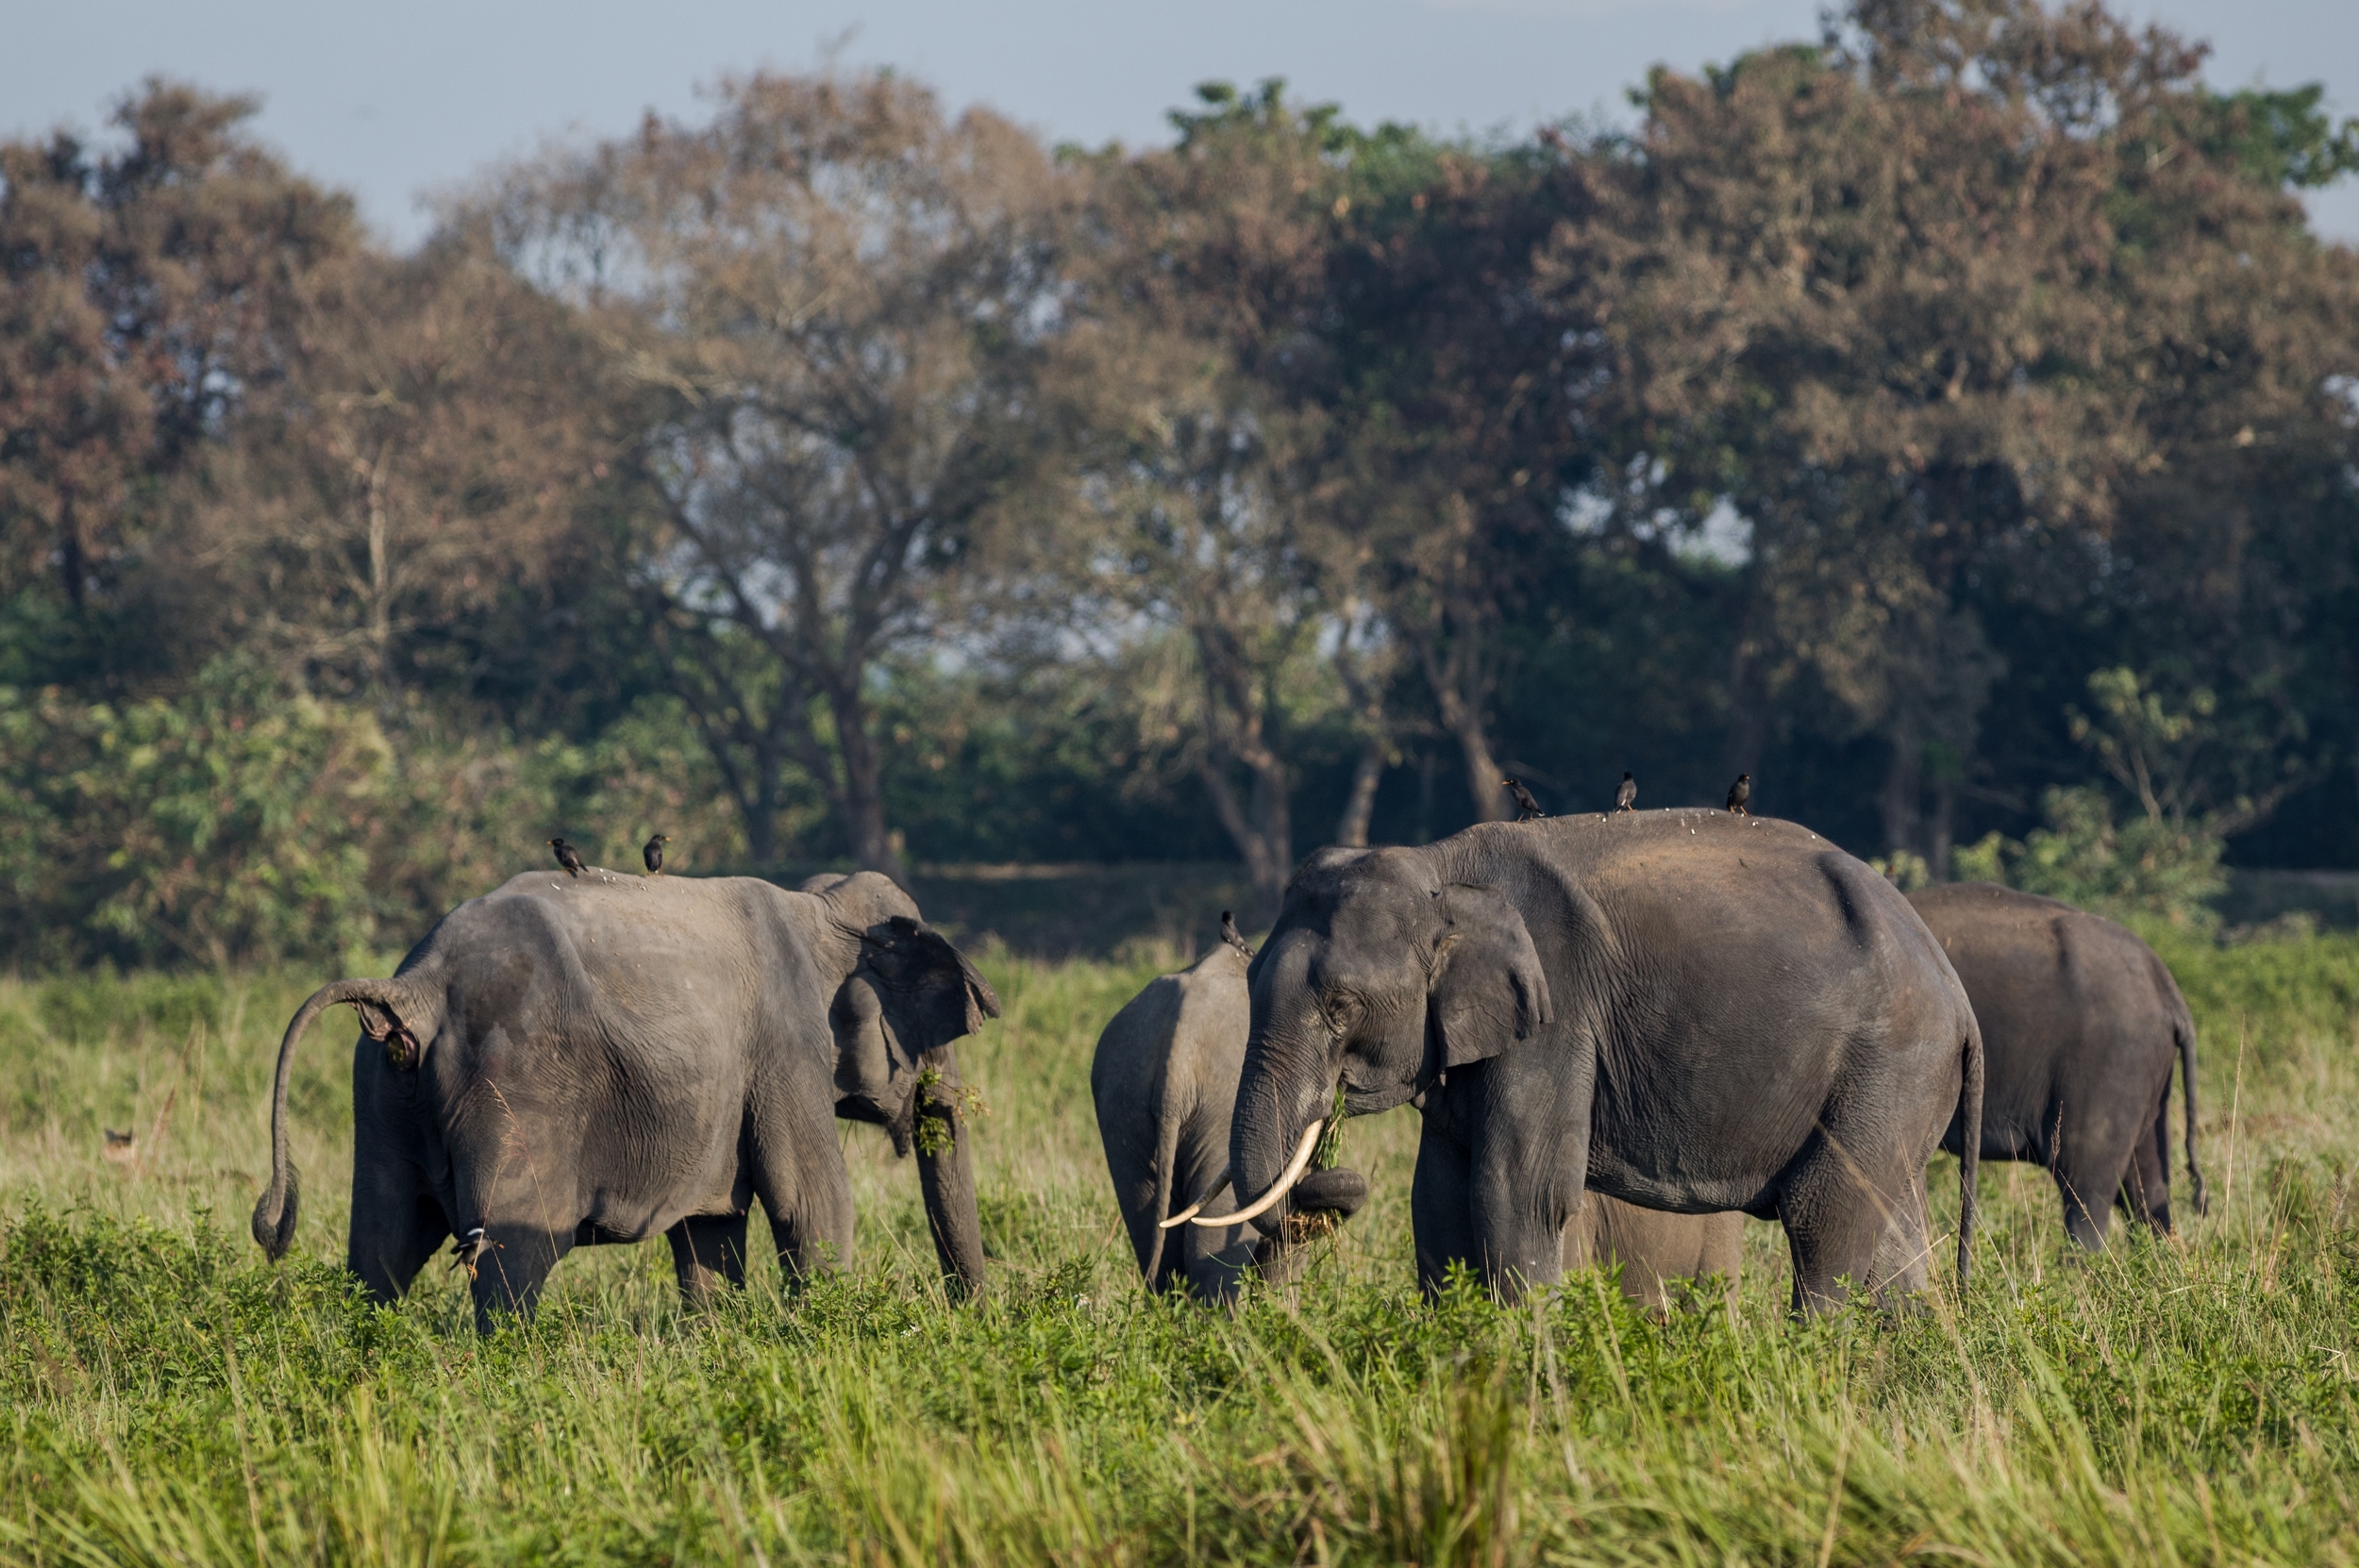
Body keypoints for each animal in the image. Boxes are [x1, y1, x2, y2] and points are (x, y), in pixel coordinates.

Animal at [248, 862, 995, 1329]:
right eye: (937, 1035)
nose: (973, 1319)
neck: (819, 907)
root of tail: (414, 986)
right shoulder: (787, 1049)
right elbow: (813, 1204)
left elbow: (710, 1233)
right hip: (520, 1095)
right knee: (513, 1261)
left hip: (380, 1091)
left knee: (381, 1253)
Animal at [1227, 810, 1982, 1310]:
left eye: (1341, 1006)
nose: (1332, 1169)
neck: (1442, 867)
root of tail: (1958, 999)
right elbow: (1438, 1197)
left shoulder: (1557, 1014)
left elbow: (1517, 1194)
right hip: (1896, 1091)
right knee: (1894, 1232)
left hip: (1889, 1064)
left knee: (1827, 1220)